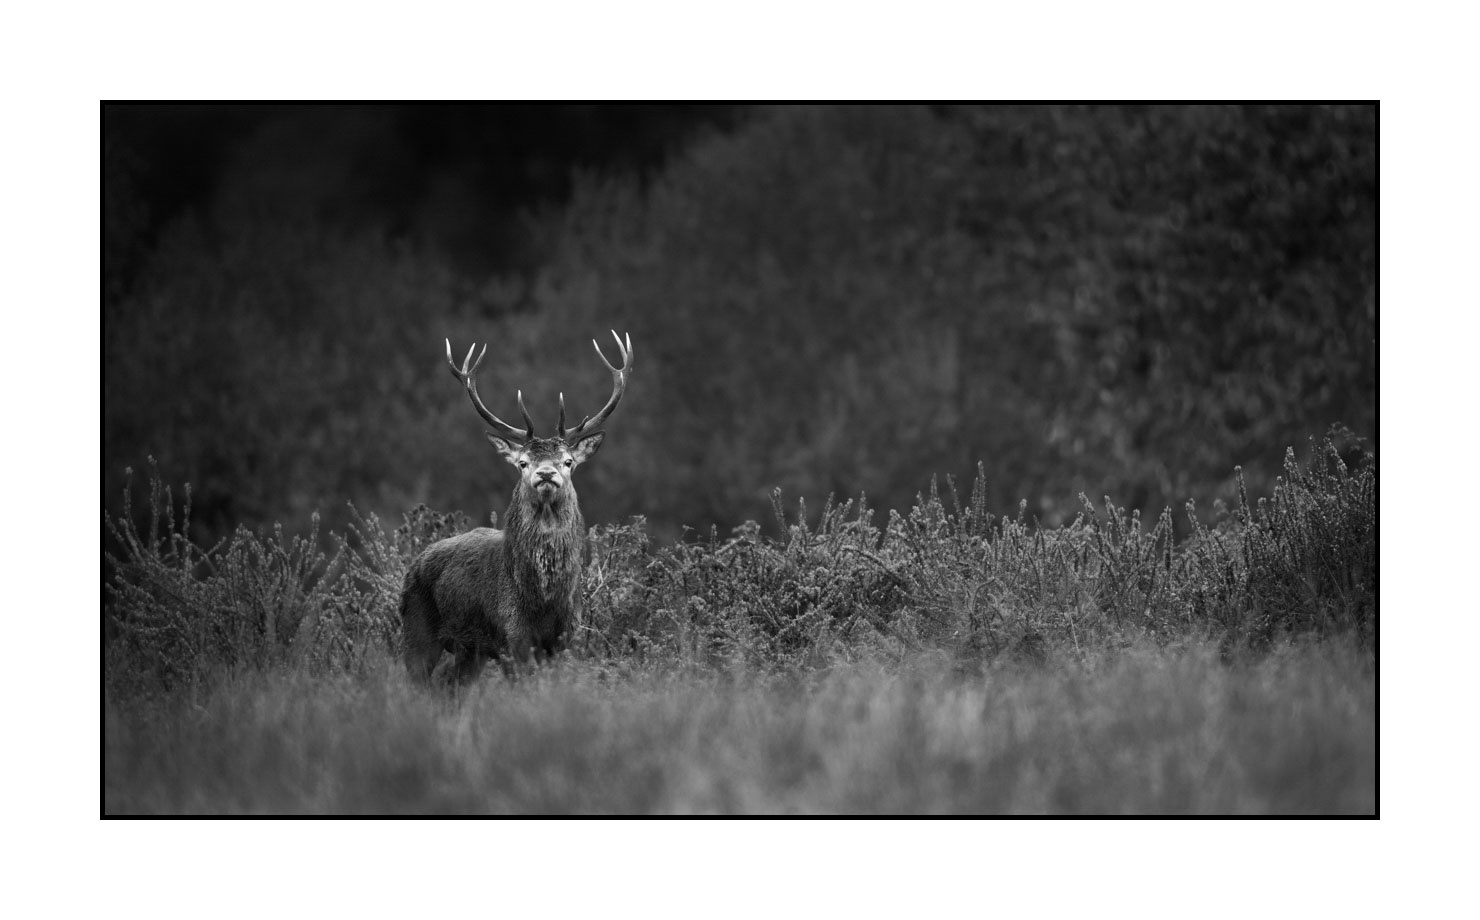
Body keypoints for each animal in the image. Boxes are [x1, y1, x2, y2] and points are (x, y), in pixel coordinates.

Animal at [399, 331, 632, 686]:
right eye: (523, 462)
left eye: (568, 461)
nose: (546, 473)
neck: (543, 601)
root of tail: (413, 563)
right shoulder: (512, 636)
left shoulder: (565, 638)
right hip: (416, 628)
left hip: (471, 651)